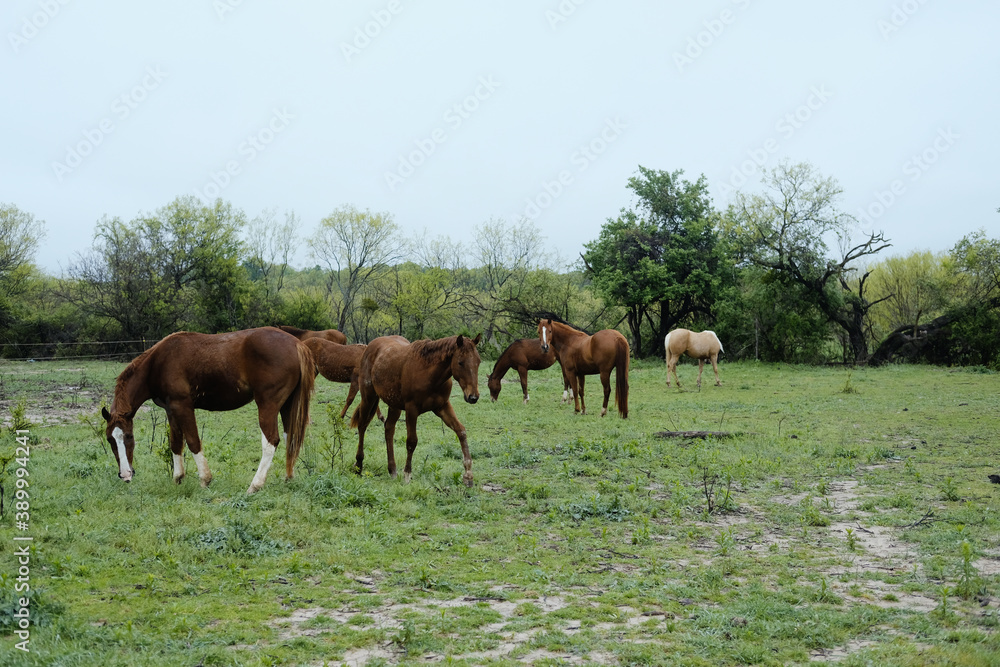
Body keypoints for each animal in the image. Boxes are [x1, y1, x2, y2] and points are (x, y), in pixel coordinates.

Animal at [101, 327, 315, 494]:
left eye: (129, 436)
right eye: (110, 439)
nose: (126, 475)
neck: (158, 363)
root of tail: (297, 344)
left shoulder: (183, 406)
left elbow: (193, 442)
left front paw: (205, 479)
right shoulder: (171, 410)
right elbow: (176, 443)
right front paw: (178, 478)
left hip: (267, 405)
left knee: (271, 442)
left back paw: (255, 485)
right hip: (287, 406)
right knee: (290, 438)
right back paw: (289, 478)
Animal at [350, 334, 481, 486]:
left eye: (478, 362)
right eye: (460, 362)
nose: (473, 397)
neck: (429, 374)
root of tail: (370, 346)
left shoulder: (442, 407)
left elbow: (461, 431)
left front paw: (468, 475)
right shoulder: (411, 409)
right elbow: (412, 441)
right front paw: (407, 474)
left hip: (394, 405)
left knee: (389, 428)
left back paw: (392, 470)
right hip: (368, 397)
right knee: (362, 426)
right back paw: (359, 465)